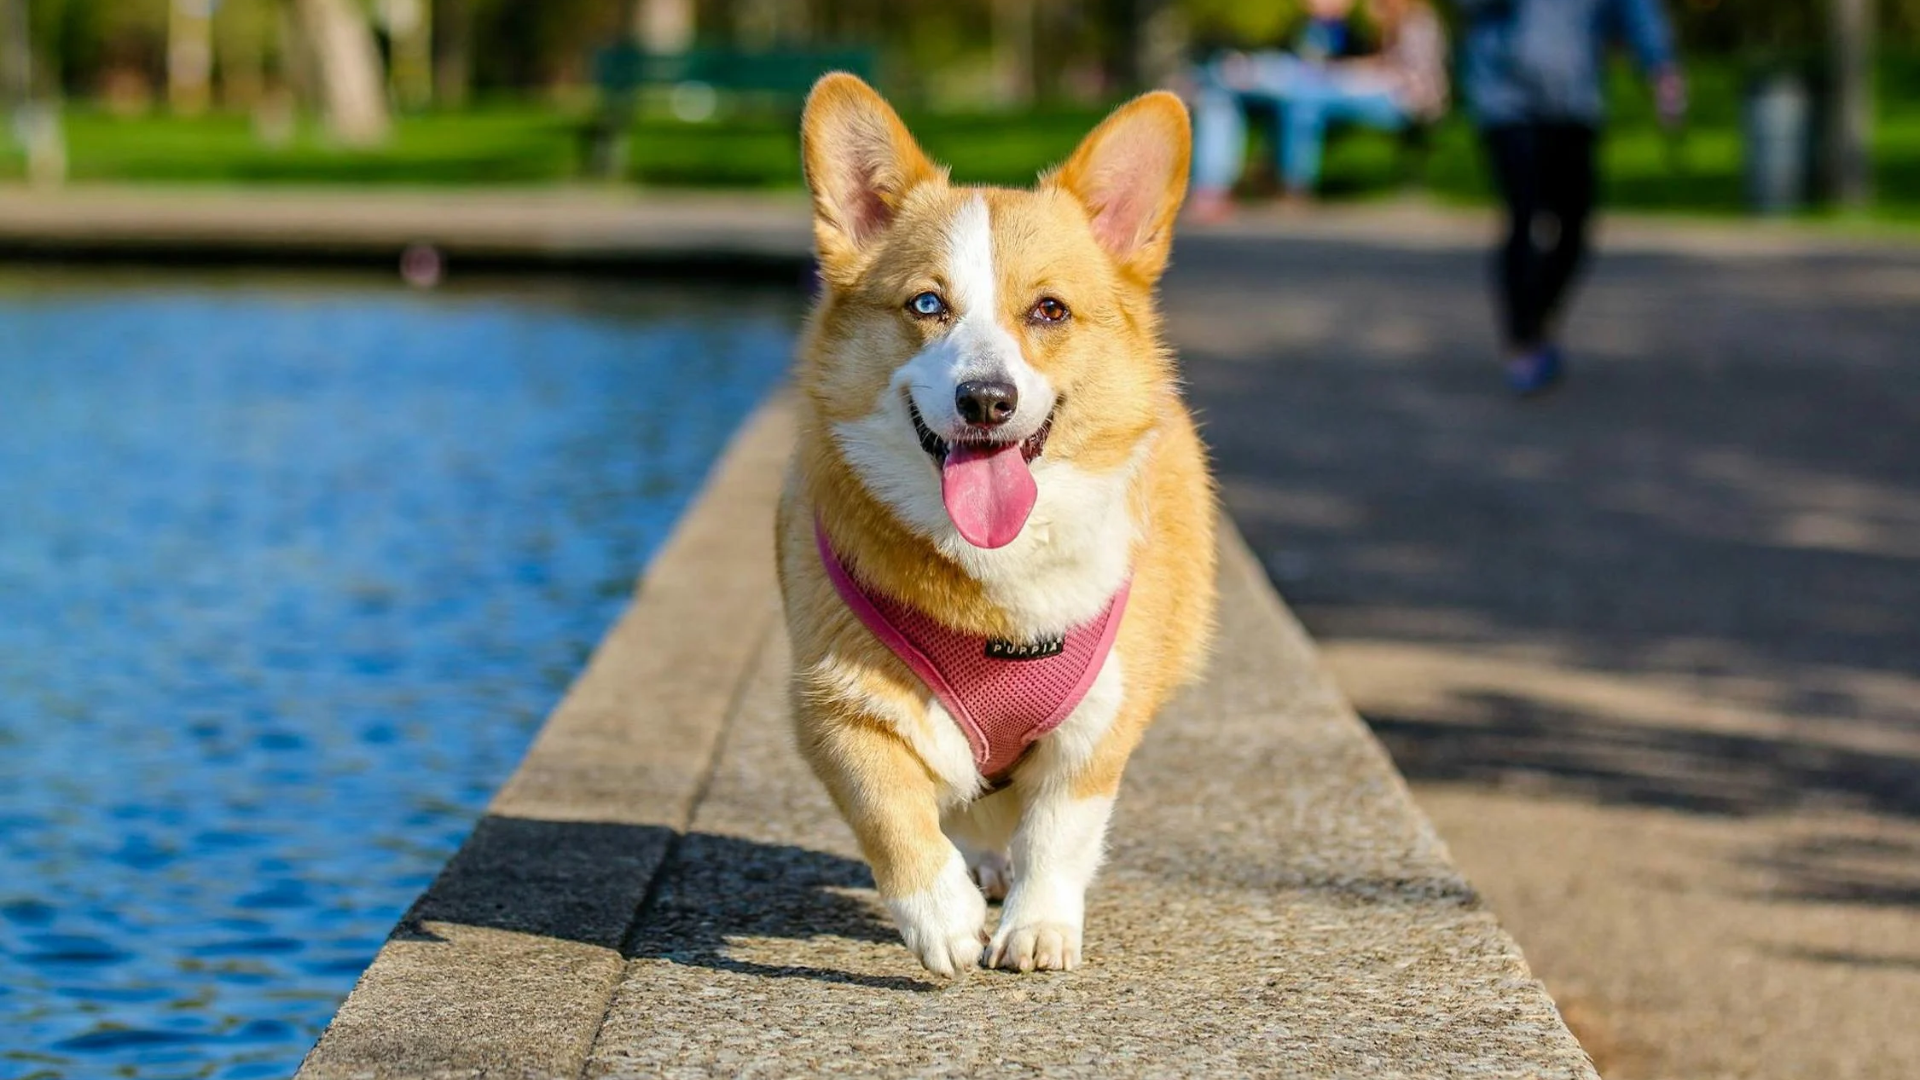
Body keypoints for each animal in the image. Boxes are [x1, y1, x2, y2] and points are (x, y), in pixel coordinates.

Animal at [775, 71, 1213, 972]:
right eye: (927, 304)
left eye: (1048, 311)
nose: (986, 400)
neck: (996, 581)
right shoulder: (834, 705)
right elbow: (891, 812)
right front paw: (940, 918)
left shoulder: (1099, 724)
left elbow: (1059, 830)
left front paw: (1039, 927)